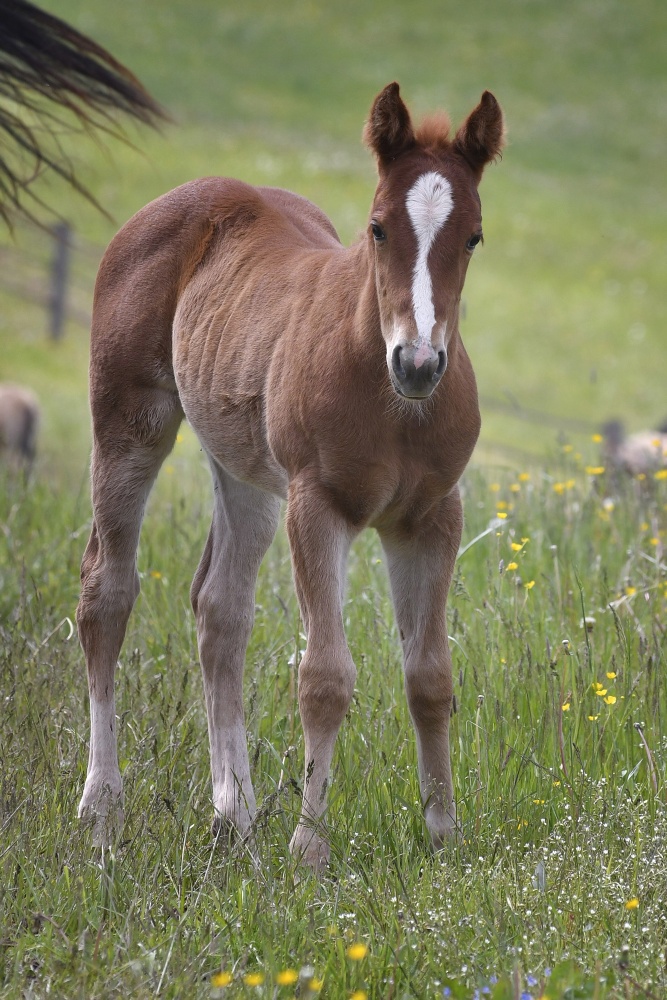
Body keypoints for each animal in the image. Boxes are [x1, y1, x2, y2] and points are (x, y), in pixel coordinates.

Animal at [75, 84, 504, 868]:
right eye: (376, 228)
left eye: (473, 237)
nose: (418, 363)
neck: (392, 401)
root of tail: (196, 191)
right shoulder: (318, 504)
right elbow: (324, 677)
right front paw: (309, 849)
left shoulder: (431, 516)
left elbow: (430, 676)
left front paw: (443, 836)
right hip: (129, 421)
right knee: (107, 591)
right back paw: (102, 806)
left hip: (243, 469)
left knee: (220, 609)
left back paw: (234, 813)